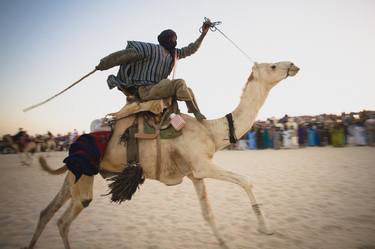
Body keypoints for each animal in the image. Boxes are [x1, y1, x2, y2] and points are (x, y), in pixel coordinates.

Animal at [23, 60, 300, 249]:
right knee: (65, 219)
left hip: (74, 175)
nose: (292, 65)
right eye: (273, 66)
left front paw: (225, 242)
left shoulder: (195, 174)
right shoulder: (203, 166)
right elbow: (245, 181)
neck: (211, 131)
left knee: (47, 212)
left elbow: (208, 213)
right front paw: (265, 227)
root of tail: (75, 141)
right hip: (83, 179)